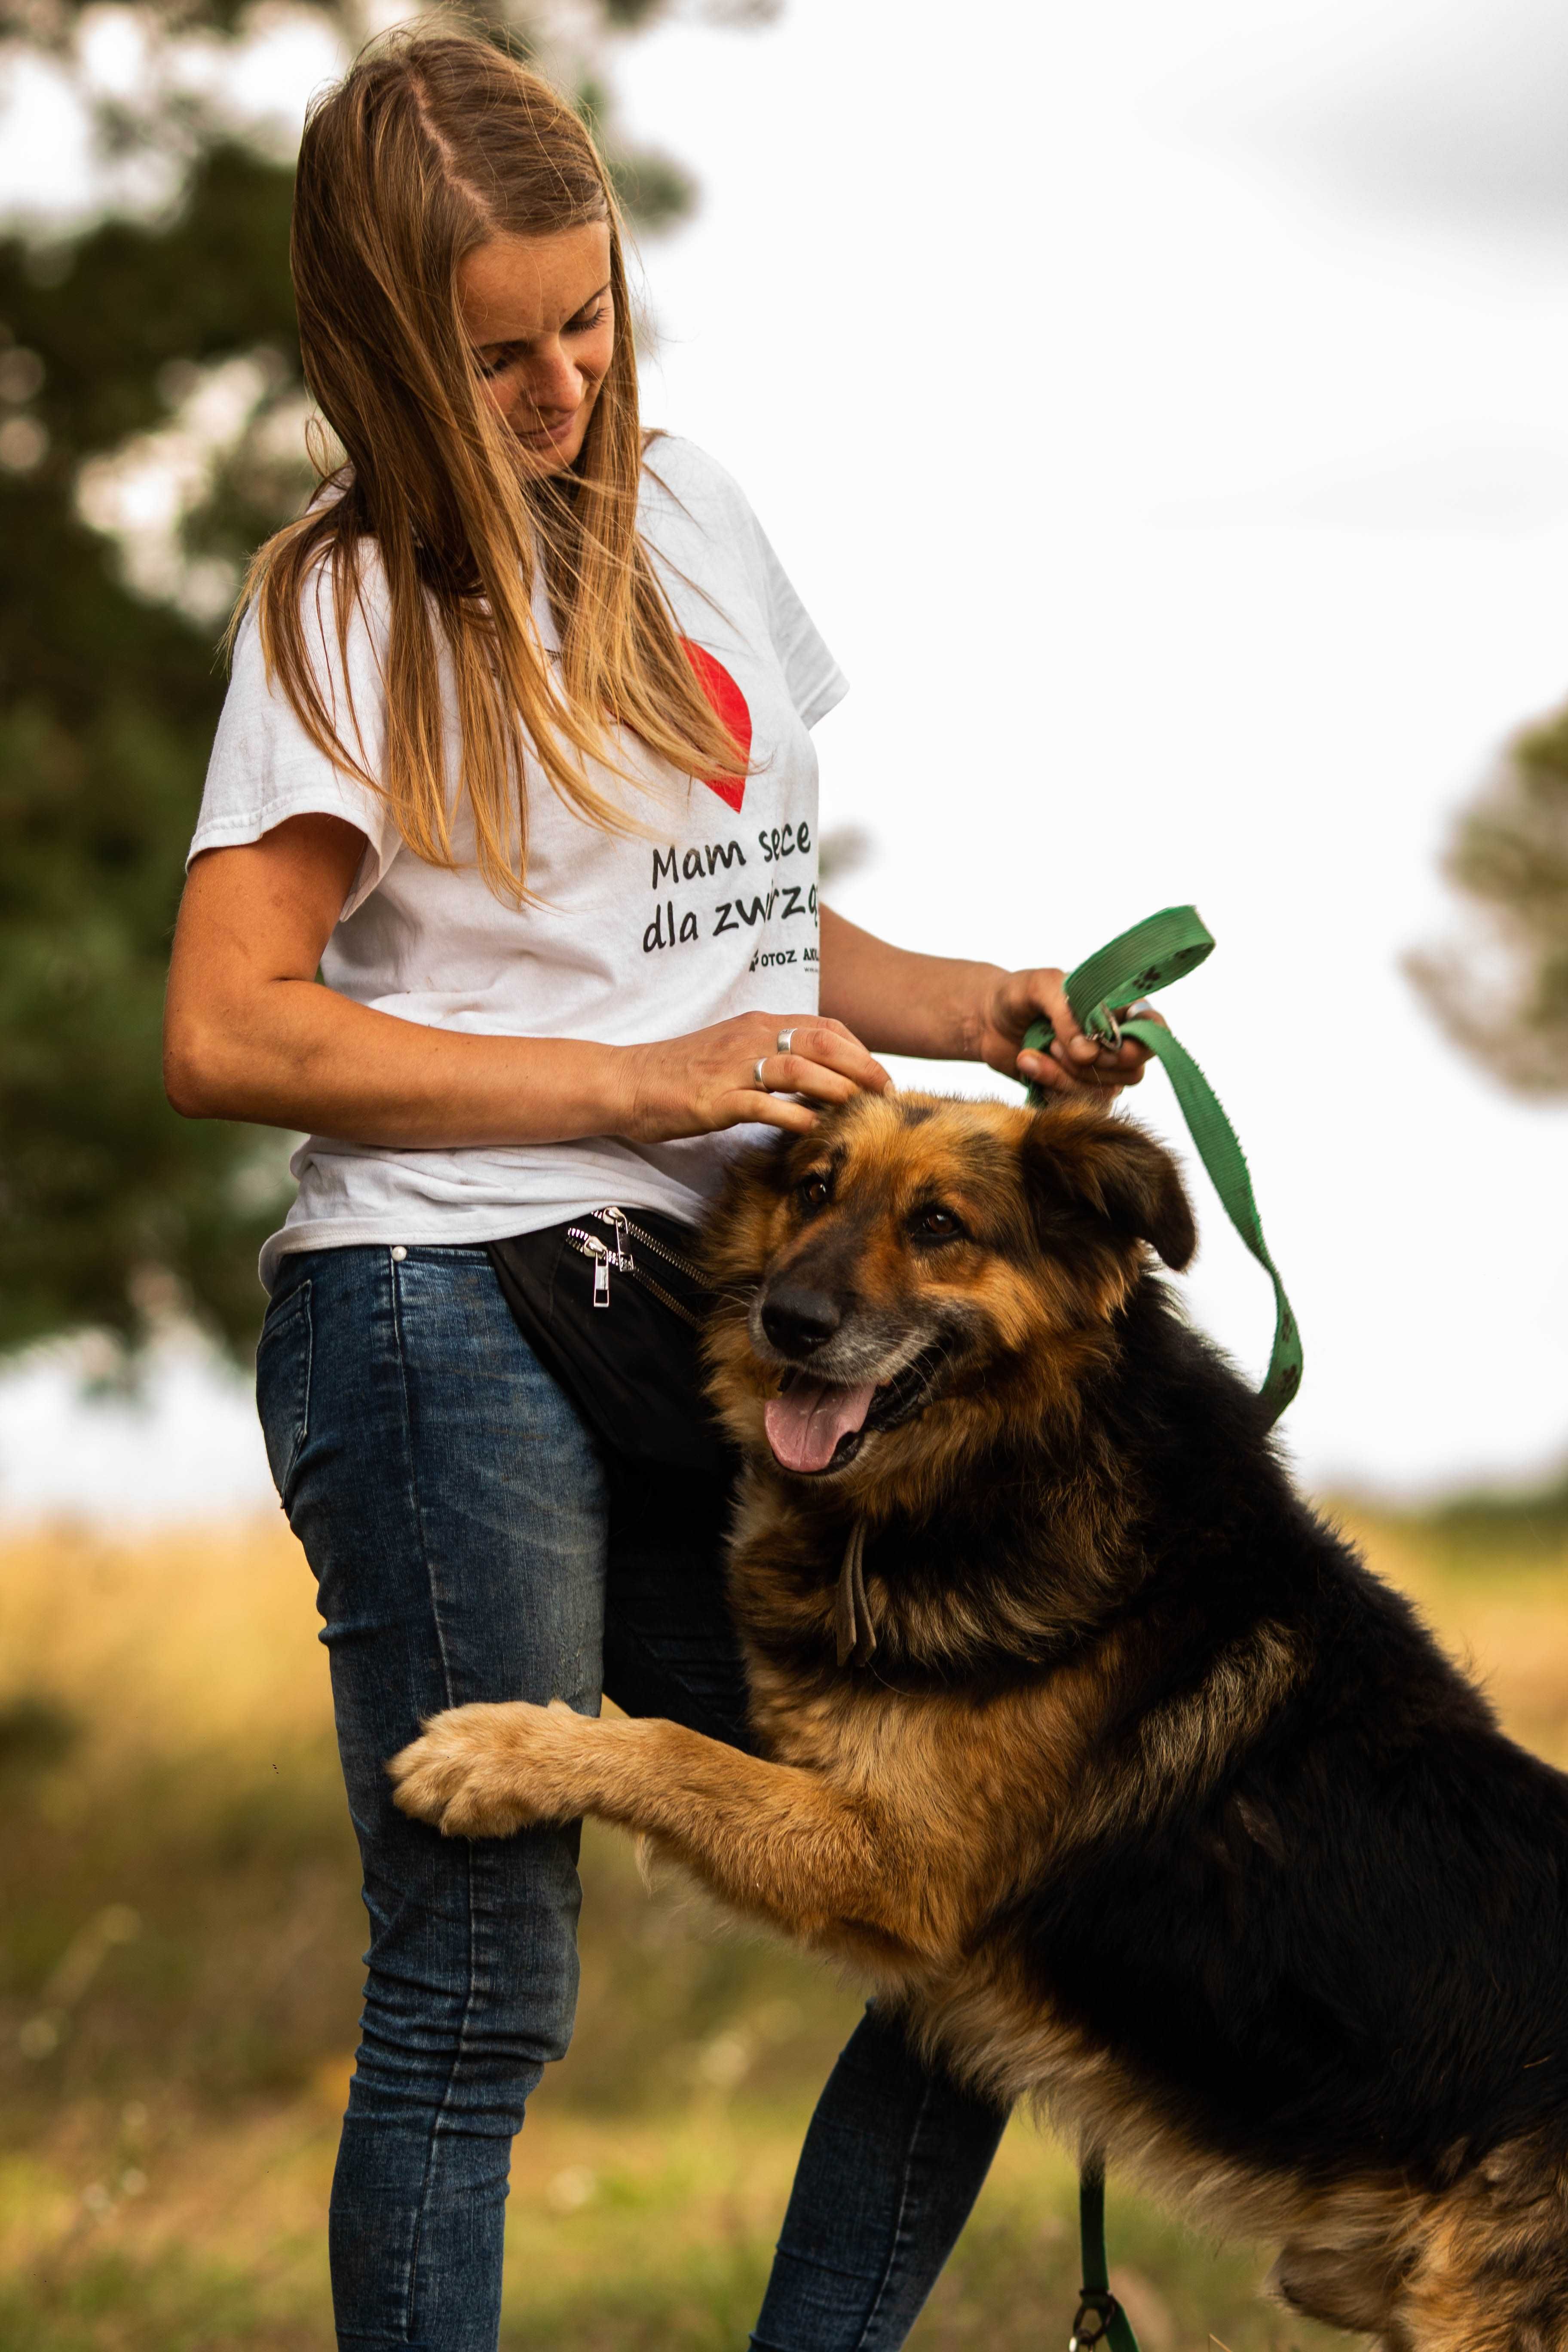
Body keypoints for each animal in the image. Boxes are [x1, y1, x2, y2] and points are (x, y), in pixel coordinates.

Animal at [395, 1091, 1568, 2343]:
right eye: (813, 1189)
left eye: (939, 1225)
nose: (787, 1322)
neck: (1013, 1461)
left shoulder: (902, 1865)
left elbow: (674, 1749)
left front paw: (495, 1752)